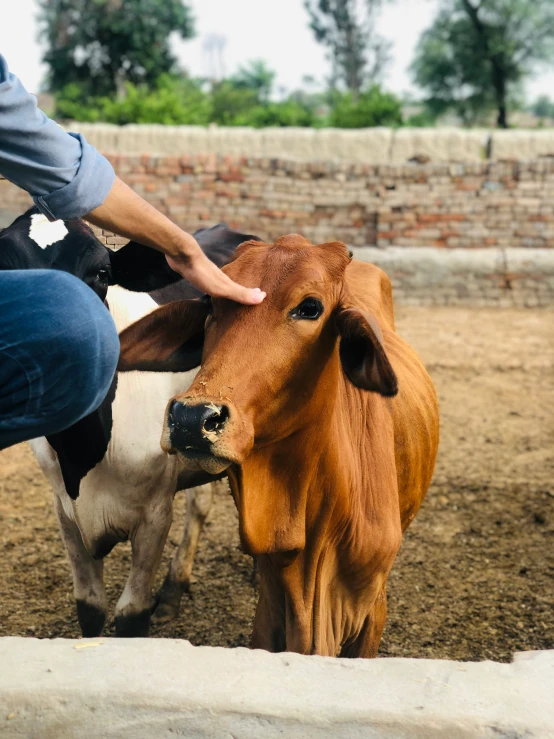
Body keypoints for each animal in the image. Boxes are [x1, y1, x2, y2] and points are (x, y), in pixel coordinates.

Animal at [0, 207, 258, 636]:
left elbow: (131, 616)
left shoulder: (154, 515)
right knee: (200, 503)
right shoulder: (64, 510)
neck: (85, 455)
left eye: (102, 273)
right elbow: (89, 608)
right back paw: (173, 590)